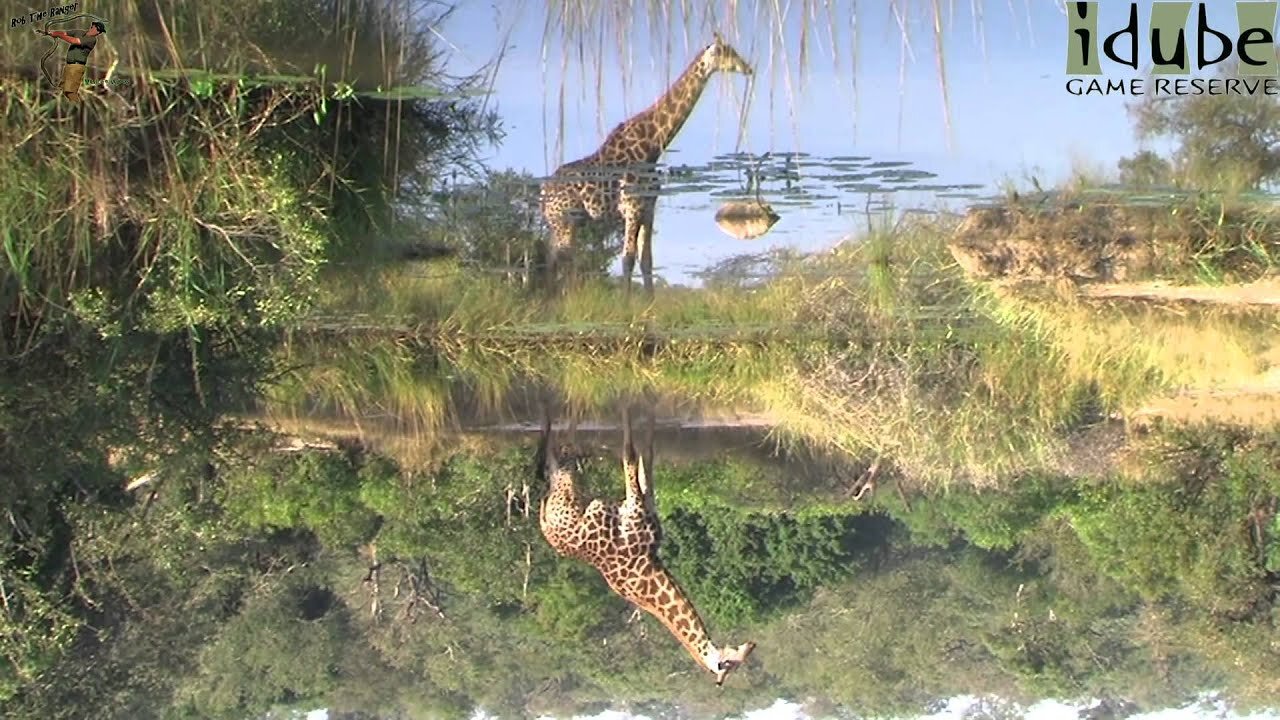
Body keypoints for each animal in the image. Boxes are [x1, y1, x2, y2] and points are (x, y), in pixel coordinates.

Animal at [535, 399, 752, 686]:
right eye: (735, 660)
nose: (752, 645)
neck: (649, 567)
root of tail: (546, 525)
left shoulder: (642, 500)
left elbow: (645, 459)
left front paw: (648, 416)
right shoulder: (634, 507)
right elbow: (631, 454)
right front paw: (631, 407)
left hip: (566, 488)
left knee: (556, 457)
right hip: (568, 487)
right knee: (561, 455)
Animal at [537, 32, 752, 295]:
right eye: (726, 52)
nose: (748, 68)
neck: (652, 145)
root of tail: (544, 190)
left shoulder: (648, 209)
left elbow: (647, 260)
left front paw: (649, 302)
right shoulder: (632, 207)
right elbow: (627, 258)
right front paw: (626, 303)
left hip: (563, 221)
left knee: (553, 258)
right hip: (564, 219)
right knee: (562, 259)